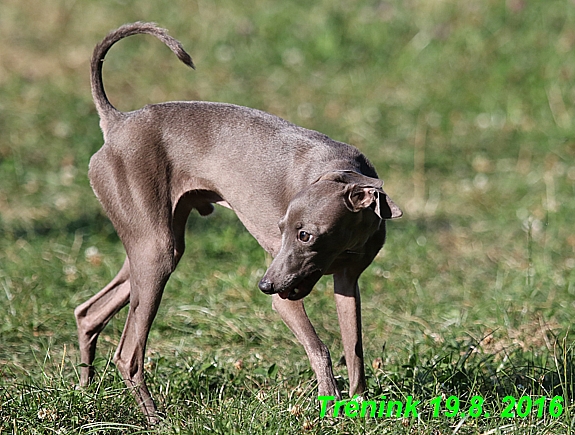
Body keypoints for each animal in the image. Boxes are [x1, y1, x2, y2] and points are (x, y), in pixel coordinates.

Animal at [74, 22, 402, 424]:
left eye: (305, 235)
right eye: (280, 229)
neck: (342, 170)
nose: (264, 285)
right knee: (127, 354)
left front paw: (360, 407)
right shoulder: (284, 298)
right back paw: (153, 417)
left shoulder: (346, 281)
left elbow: (354, 349)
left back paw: (85, 393)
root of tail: (118, 122)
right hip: (155, 251)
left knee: (88, 313)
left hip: (151, 247)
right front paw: (330, 405)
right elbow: (321, 348)